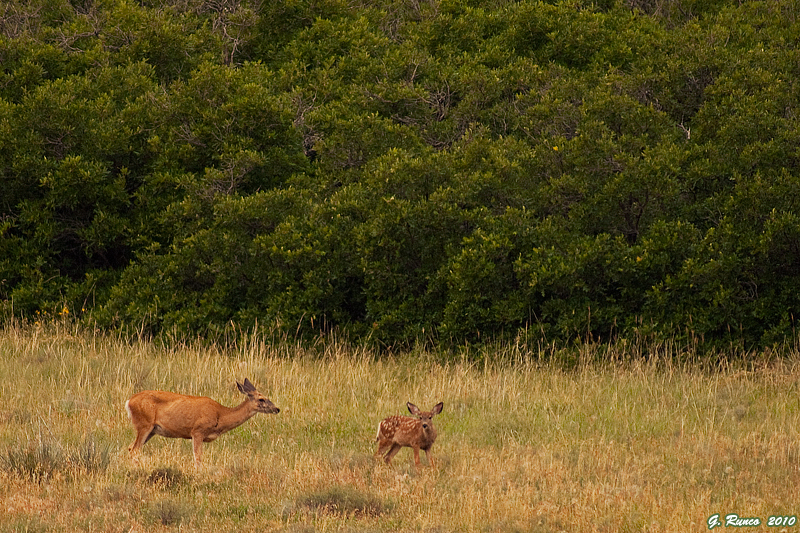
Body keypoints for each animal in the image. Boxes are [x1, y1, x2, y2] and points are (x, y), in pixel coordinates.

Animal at [125, 378, 279, 466]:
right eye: (261, 399)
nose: (276, 409)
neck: (221, 415)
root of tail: (129, 401)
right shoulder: (197, 431)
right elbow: (198, 458)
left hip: (152, 430)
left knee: (130, 447)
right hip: (144, 424)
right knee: (135, 449)